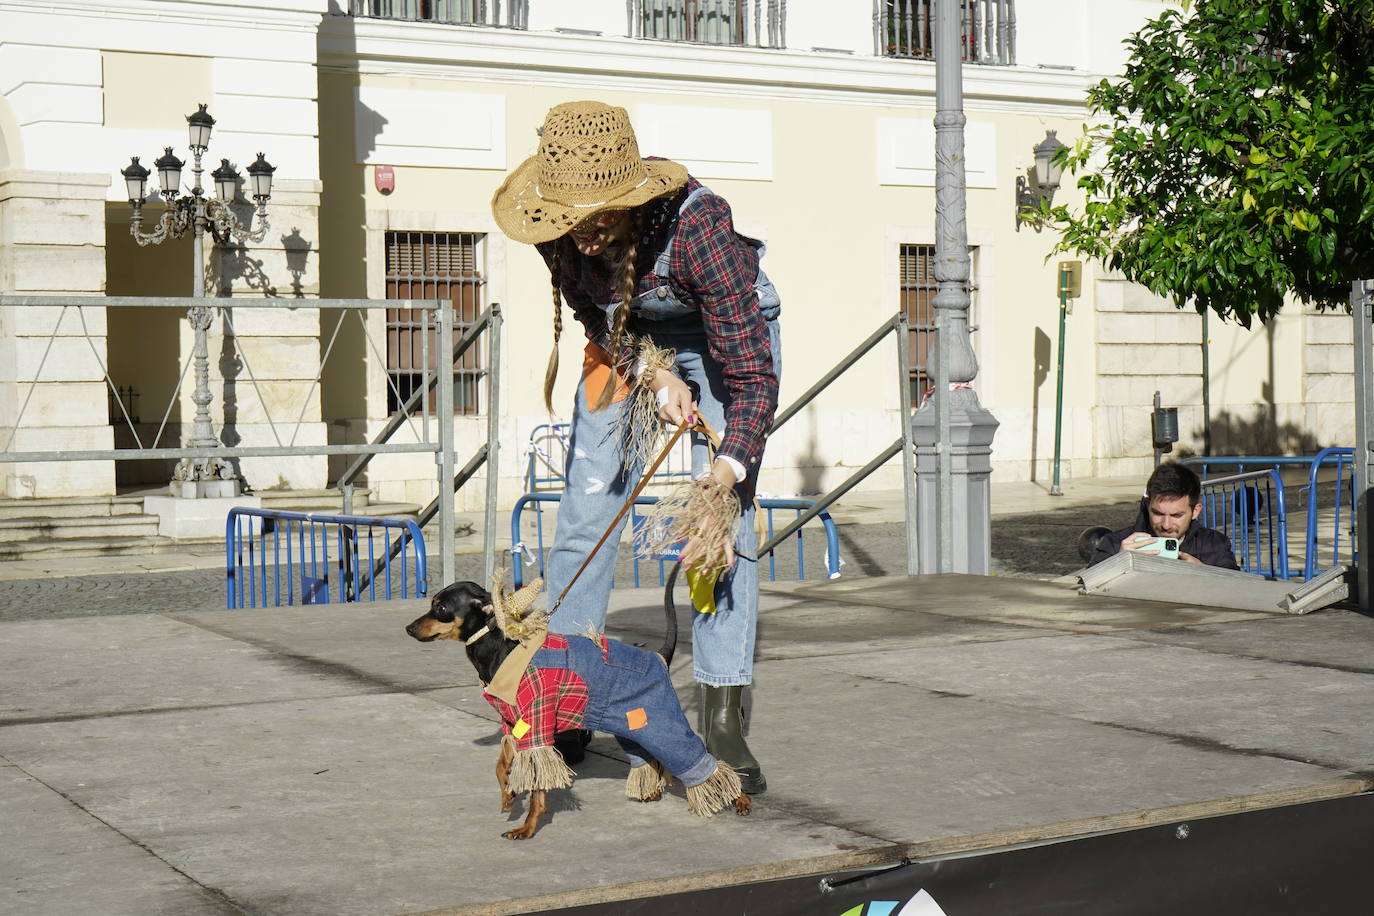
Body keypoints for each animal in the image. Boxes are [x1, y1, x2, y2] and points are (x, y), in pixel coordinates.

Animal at [403, 579, 752, 840]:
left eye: (441, 608)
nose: (408, 628)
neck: (502, 649)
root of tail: (658, 657)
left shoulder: (537, 728)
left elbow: (538, 789)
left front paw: (527, 829)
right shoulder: (515, 726)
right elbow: (501, 766)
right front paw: (507, 796)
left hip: (661, 722)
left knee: (706, 761)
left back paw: (740, 798)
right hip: (634, 727)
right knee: (652, 758)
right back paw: (653, 792)